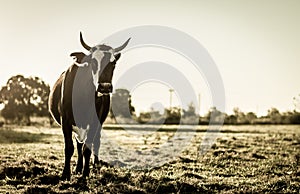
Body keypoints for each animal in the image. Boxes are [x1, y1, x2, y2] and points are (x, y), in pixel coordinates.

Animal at [48, 32, 129, 180]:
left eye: (113, 63)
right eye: (93, 62)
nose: (104, 87)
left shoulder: (94, 122)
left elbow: (88, 148)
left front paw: (85, 174)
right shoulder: (65, 121)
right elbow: (69, 148)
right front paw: (66, 173)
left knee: (95, 142)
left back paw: (94, 165)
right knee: (79, 145)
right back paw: (78, 167)